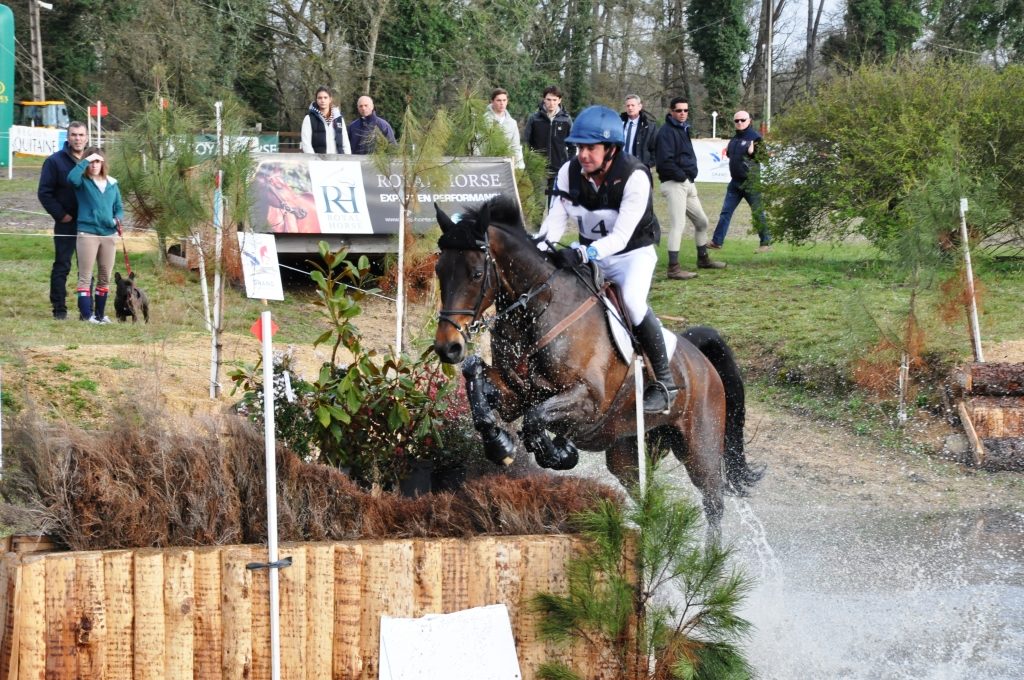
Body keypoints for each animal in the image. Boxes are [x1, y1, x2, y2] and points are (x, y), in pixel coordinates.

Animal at [432, 193, 761, 532]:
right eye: (439, 270)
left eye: (476, 274)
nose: (448, 347)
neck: (539, 309)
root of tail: (701, 360)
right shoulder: (514, 395)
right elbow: (477, 377)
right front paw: (500, 444)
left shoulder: (587, 399)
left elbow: (536, 419)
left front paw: (556, 452)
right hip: (629, 452)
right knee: (648, 499)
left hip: (699, 448)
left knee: (713, 504)